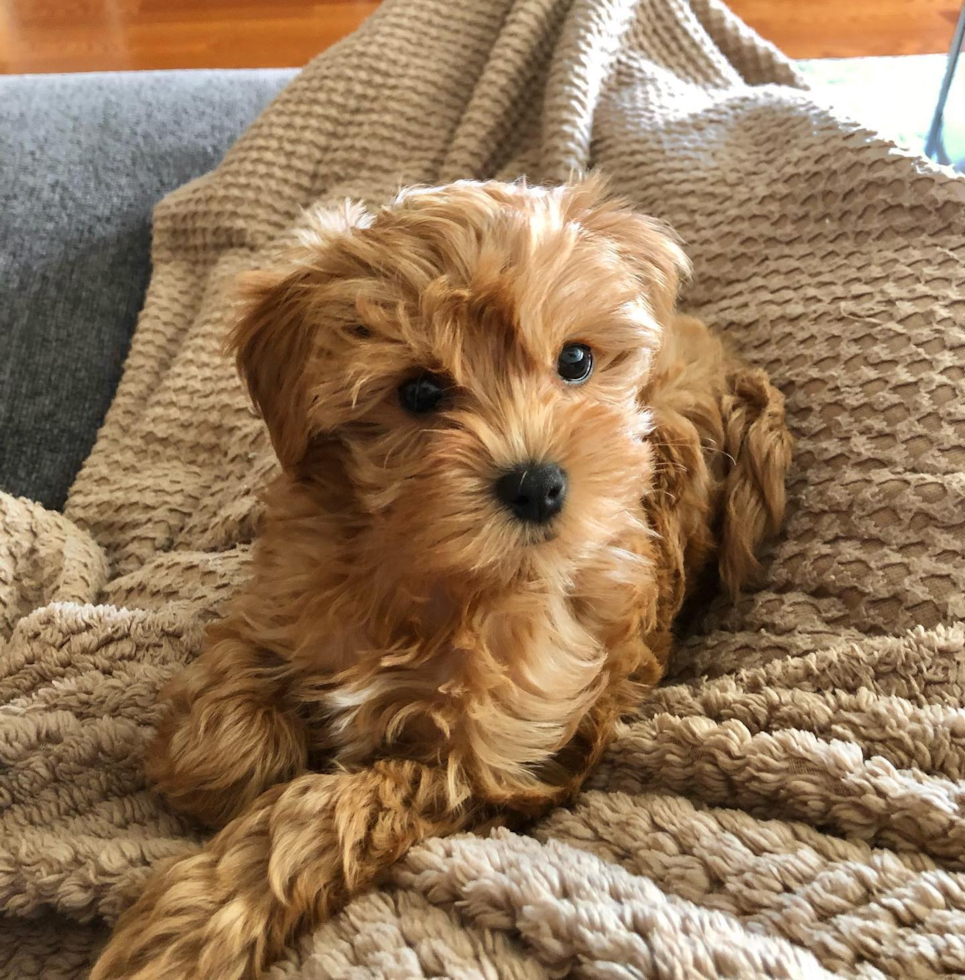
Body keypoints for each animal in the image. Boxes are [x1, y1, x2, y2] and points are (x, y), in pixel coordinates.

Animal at [90, 178, 792, 980]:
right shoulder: (277, 599)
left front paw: (189, 929)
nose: (536, 485)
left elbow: (325, 812)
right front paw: (221, 764)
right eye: (420, 393)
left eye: (576, 361)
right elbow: (226, 698)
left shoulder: (488, 762)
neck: (433, 571)